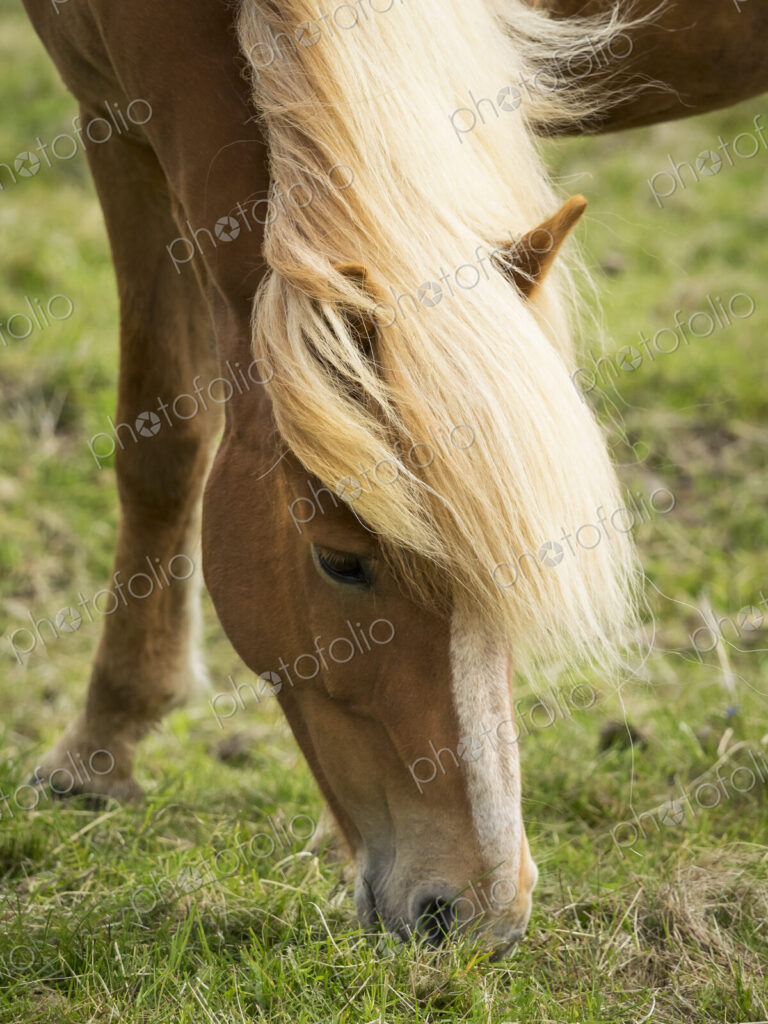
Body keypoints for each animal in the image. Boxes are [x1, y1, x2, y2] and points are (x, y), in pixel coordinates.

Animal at [20, 0, 767, 955]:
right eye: (341, 561)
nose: (483, 915)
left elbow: (162, 439)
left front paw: (99, 743)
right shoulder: (114, 118)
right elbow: (163, 437)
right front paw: (103, 749)